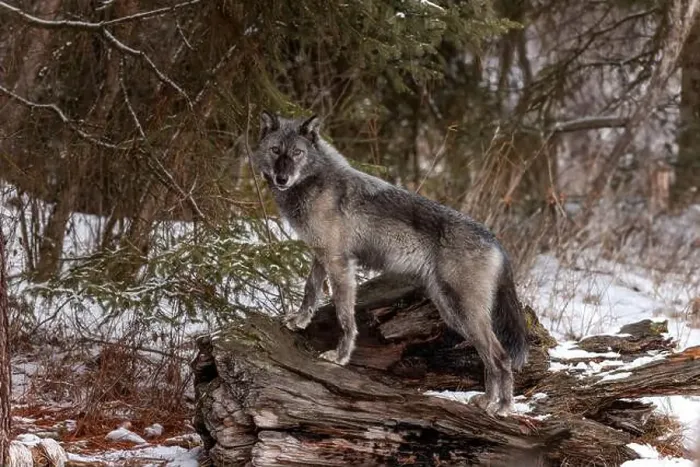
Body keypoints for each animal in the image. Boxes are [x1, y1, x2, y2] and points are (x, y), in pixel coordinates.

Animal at [252, 110, 529, 416]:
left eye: (297, 153)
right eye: (275, 150)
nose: (282, 178)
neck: (317, 182)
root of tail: (496, 241)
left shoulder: (339, 263)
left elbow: (344, 315)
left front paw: (340, 356)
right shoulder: (321, 255)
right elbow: (310, 291)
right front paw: (299, 321)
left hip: (464, 312)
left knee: (501, 357)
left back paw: (503, 407)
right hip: (453, 313)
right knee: (488, 358)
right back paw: (487, 401)